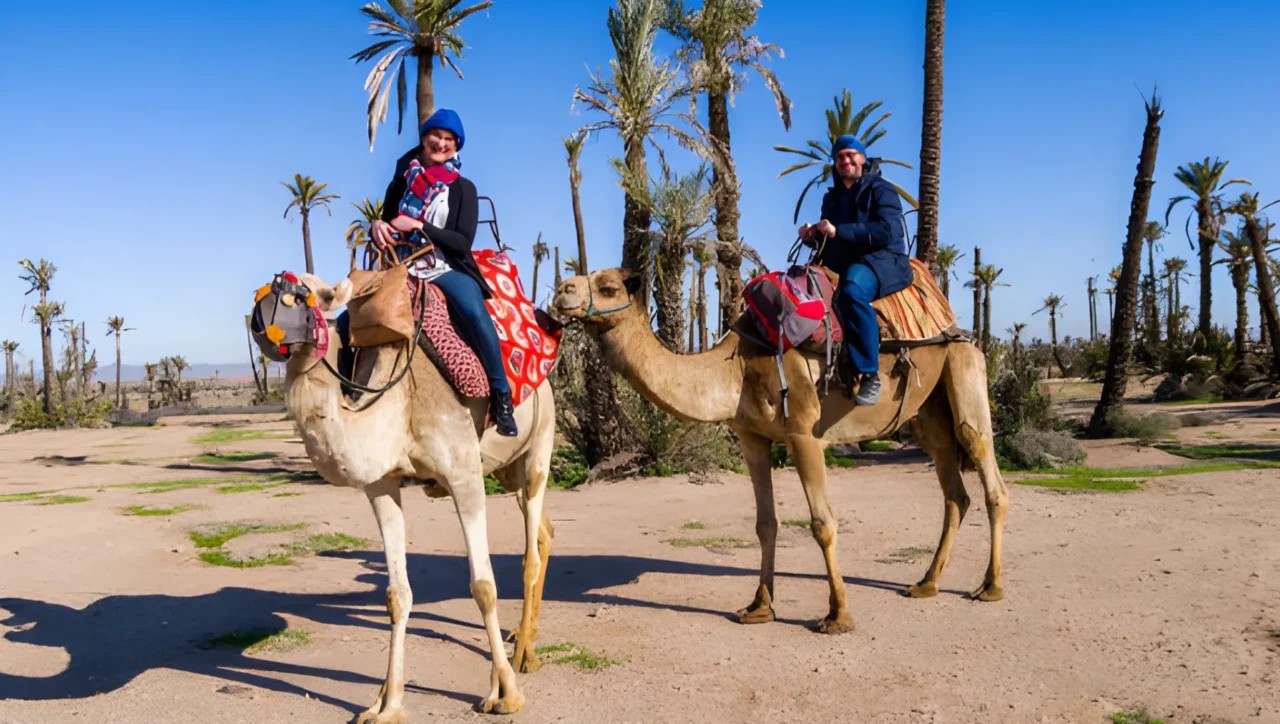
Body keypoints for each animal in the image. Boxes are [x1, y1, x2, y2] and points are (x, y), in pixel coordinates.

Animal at [257, 272, 558, 721]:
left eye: (319, 296)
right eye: (264, 291)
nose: (263, 321)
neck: (398, 404)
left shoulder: (464, 472)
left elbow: (483, 586)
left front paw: (507, 695)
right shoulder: (382, 484)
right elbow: (397, 595)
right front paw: (387, 704)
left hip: (540, 444)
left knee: (530, 554)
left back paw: (521, 658)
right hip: (507, 471)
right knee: (543, 532)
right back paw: (523, 643)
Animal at [552, 268, 1008, 634]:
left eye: (608, 287)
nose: (561, 290)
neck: (735, 368)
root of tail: (954, 324)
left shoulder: (804, 433)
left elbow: (822, 524)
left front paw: (837, 616)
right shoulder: (752, 437)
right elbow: (765, 523)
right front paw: (759, 607)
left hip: (964, 367)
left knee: (984, 461)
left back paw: (990, 587)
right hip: (929, 410)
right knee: (954, 489)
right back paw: (926, 583)